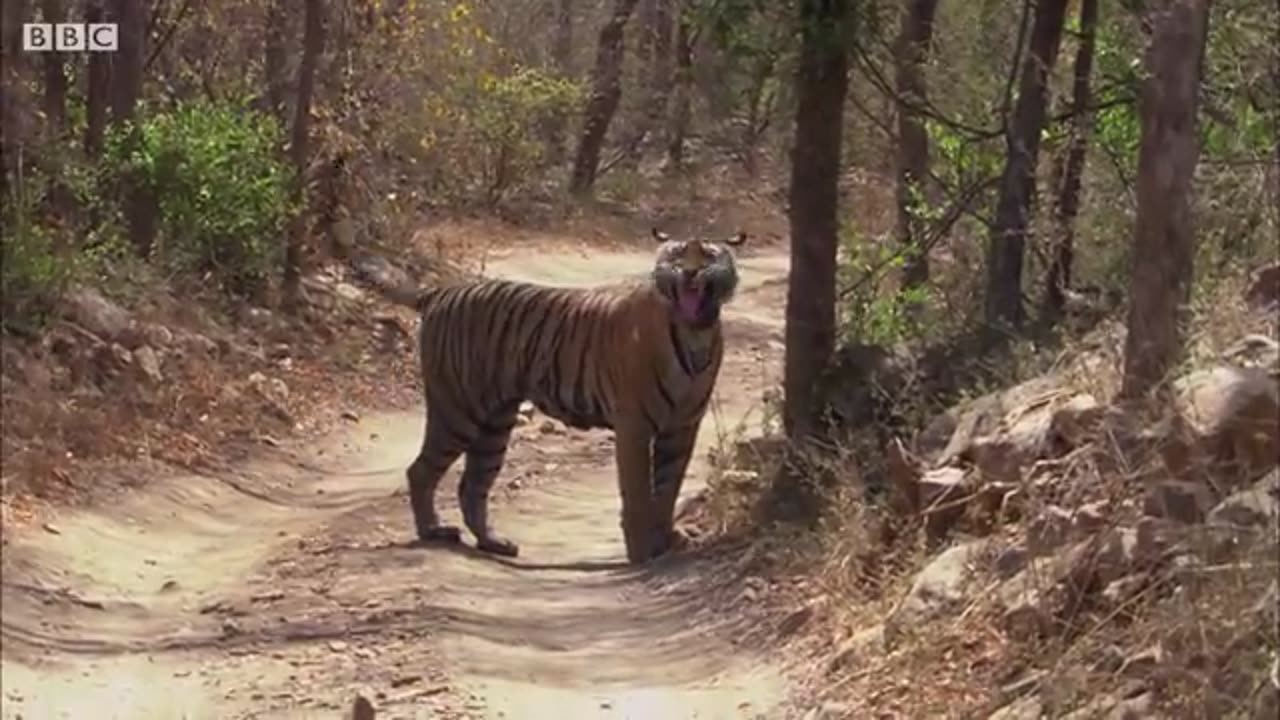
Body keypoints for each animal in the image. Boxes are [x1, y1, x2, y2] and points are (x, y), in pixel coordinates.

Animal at [371, 226, 747, 563]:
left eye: (708, 255)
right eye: (677, 254)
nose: (690, 272)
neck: (694, 332)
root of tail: (439, 293)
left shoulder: (682, 426)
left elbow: (669, 488)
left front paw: (666, 539)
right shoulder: (635, 426)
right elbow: (639, 492)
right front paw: (642, 552)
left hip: (495, 423)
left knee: (472, 485)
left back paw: (494, 542)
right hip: (458, 410)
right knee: (421, 470)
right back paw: (432, 530)